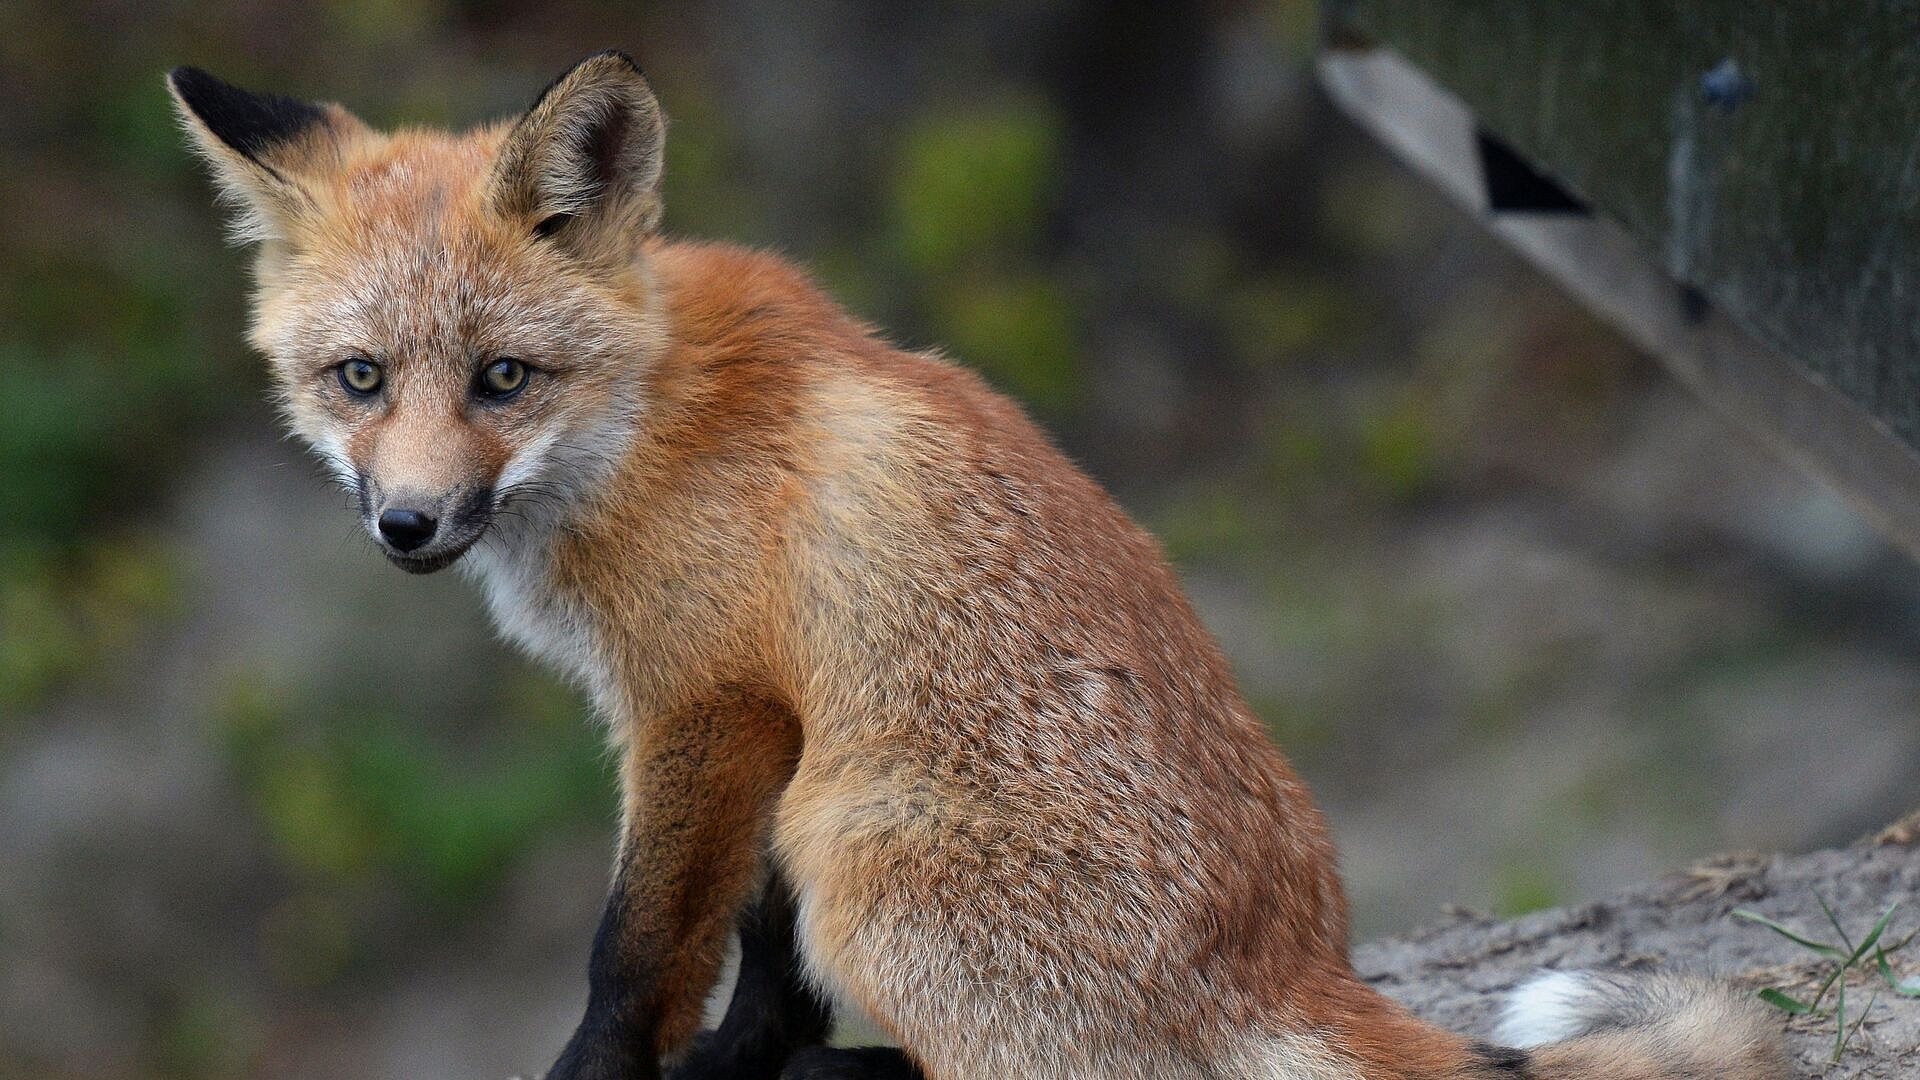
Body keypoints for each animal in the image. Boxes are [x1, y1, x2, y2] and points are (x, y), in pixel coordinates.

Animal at [172, 48, 1789, 1076]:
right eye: (360, 380)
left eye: (503, 379)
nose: (408, 526)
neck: (643, 426)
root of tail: (1292, 962)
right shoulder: (773, 727)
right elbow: (768, 979)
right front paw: (746, 1070)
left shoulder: (710, 707)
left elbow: (635, 955)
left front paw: (617, 1077)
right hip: (837, 820)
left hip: (864, 849)